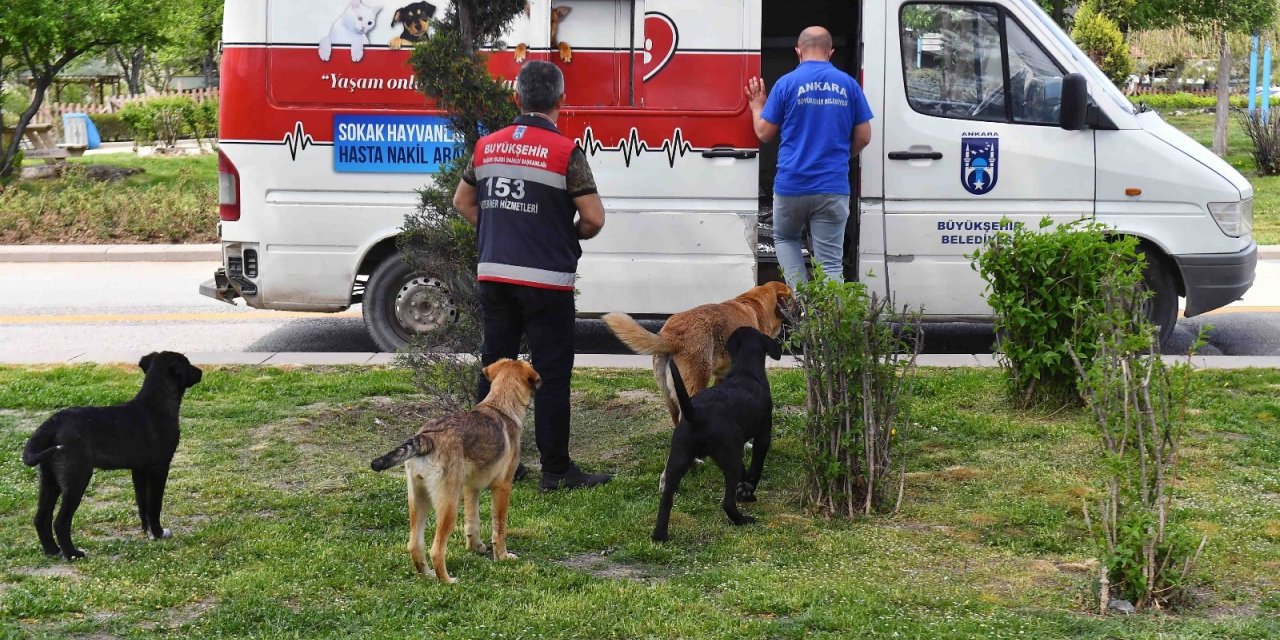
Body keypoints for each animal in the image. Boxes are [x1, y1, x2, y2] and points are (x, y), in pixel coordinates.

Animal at [21, 353, 202, 558]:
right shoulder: (160, 467)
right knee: (60, 521)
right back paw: (73, 554)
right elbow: (154, 505)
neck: (155, 405)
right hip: (76, 478)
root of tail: (52, 423)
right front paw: (158, 533)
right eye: (187, 364)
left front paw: (148, 533)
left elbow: (143, 504)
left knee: (41, 518)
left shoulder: (139, 470)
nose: (200, 372)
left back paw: (52, 551)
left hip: (49, 479)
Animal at [368, 358, 537, 583]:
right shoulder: (503, 487)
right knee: (436, 549)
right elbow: (499, 527)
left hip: (418, 499)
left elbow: (472, 522)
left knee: (414, 545)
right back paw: (447, 581)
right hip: (448, 504)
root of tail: (427, 437)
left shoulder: (471, 488)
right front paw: (502, 556)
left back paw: (429, 575)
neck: (500, 406)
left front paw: (475, 547)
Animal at [650, 327, 778, 542]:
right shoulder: (762, 436)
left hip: (679, 457)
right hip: (728, 456)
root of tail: (697, 415)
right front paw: (748, 491)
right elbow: (755, 467)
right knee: (727, 502)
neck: (745, 372)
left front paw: (745, 491)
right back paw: (743, 520)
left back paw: (660, 535)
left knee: (666, 499)